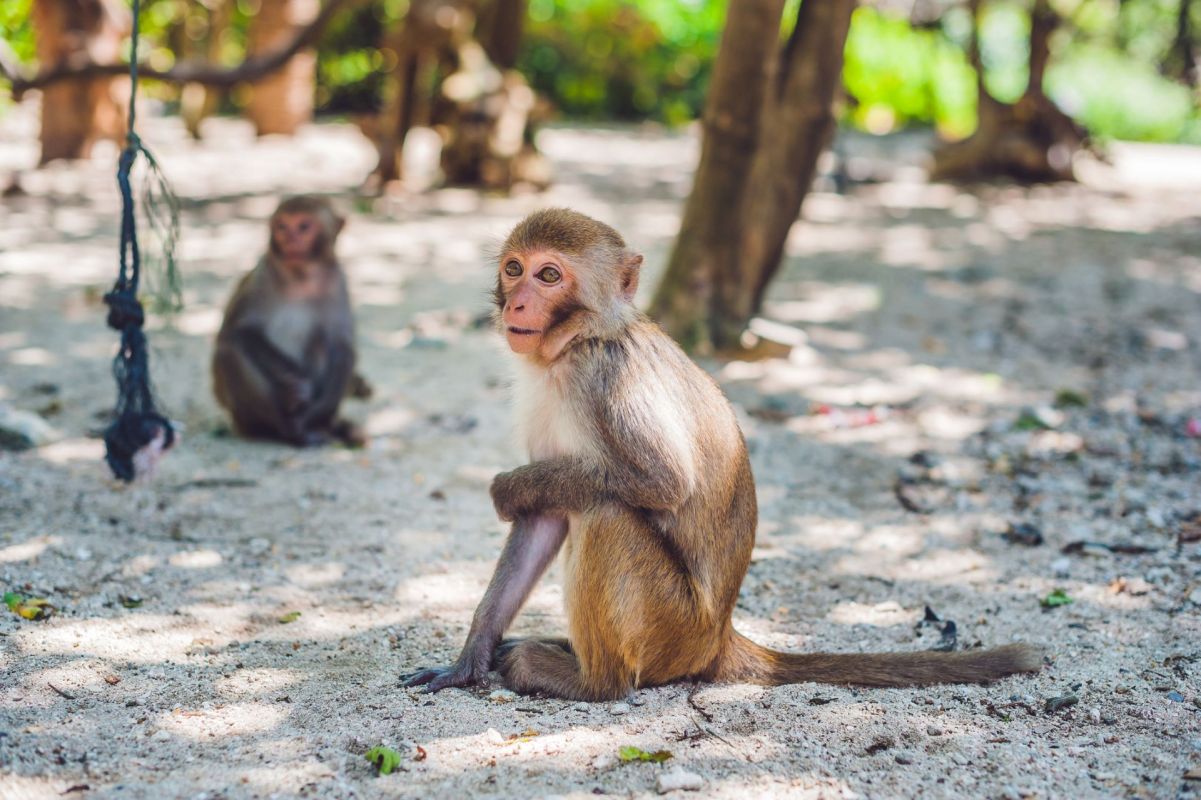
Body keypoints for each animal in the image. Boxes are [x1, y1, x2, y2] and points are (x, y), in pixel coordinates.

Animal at [211, 195, 366, 447]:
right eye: (282, 226)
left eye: (303, 226)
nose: (290, 239)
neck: (301, 277)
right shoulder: (261, 276)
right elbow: (239, 331)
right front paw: (297, 386)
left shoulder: (337, 283)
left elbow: (342, 349)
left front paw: (314, 414)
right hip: (240, 416)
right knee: (229, 349)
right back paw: (282, 424)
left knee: (321, 344)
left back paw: (315, 427)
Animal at [404, 208, 1043, 700]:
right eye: (514, 269)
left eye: (549, 274)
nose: (517, 305)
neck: (576, 344)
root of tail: (718, 636)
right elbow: (544, 519)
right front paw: (469, 658)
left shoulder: (606, 376)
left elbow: (661, 481)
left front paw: (509, 487)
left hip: (672, 625)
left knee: (607, 512)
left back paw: (590, 681)